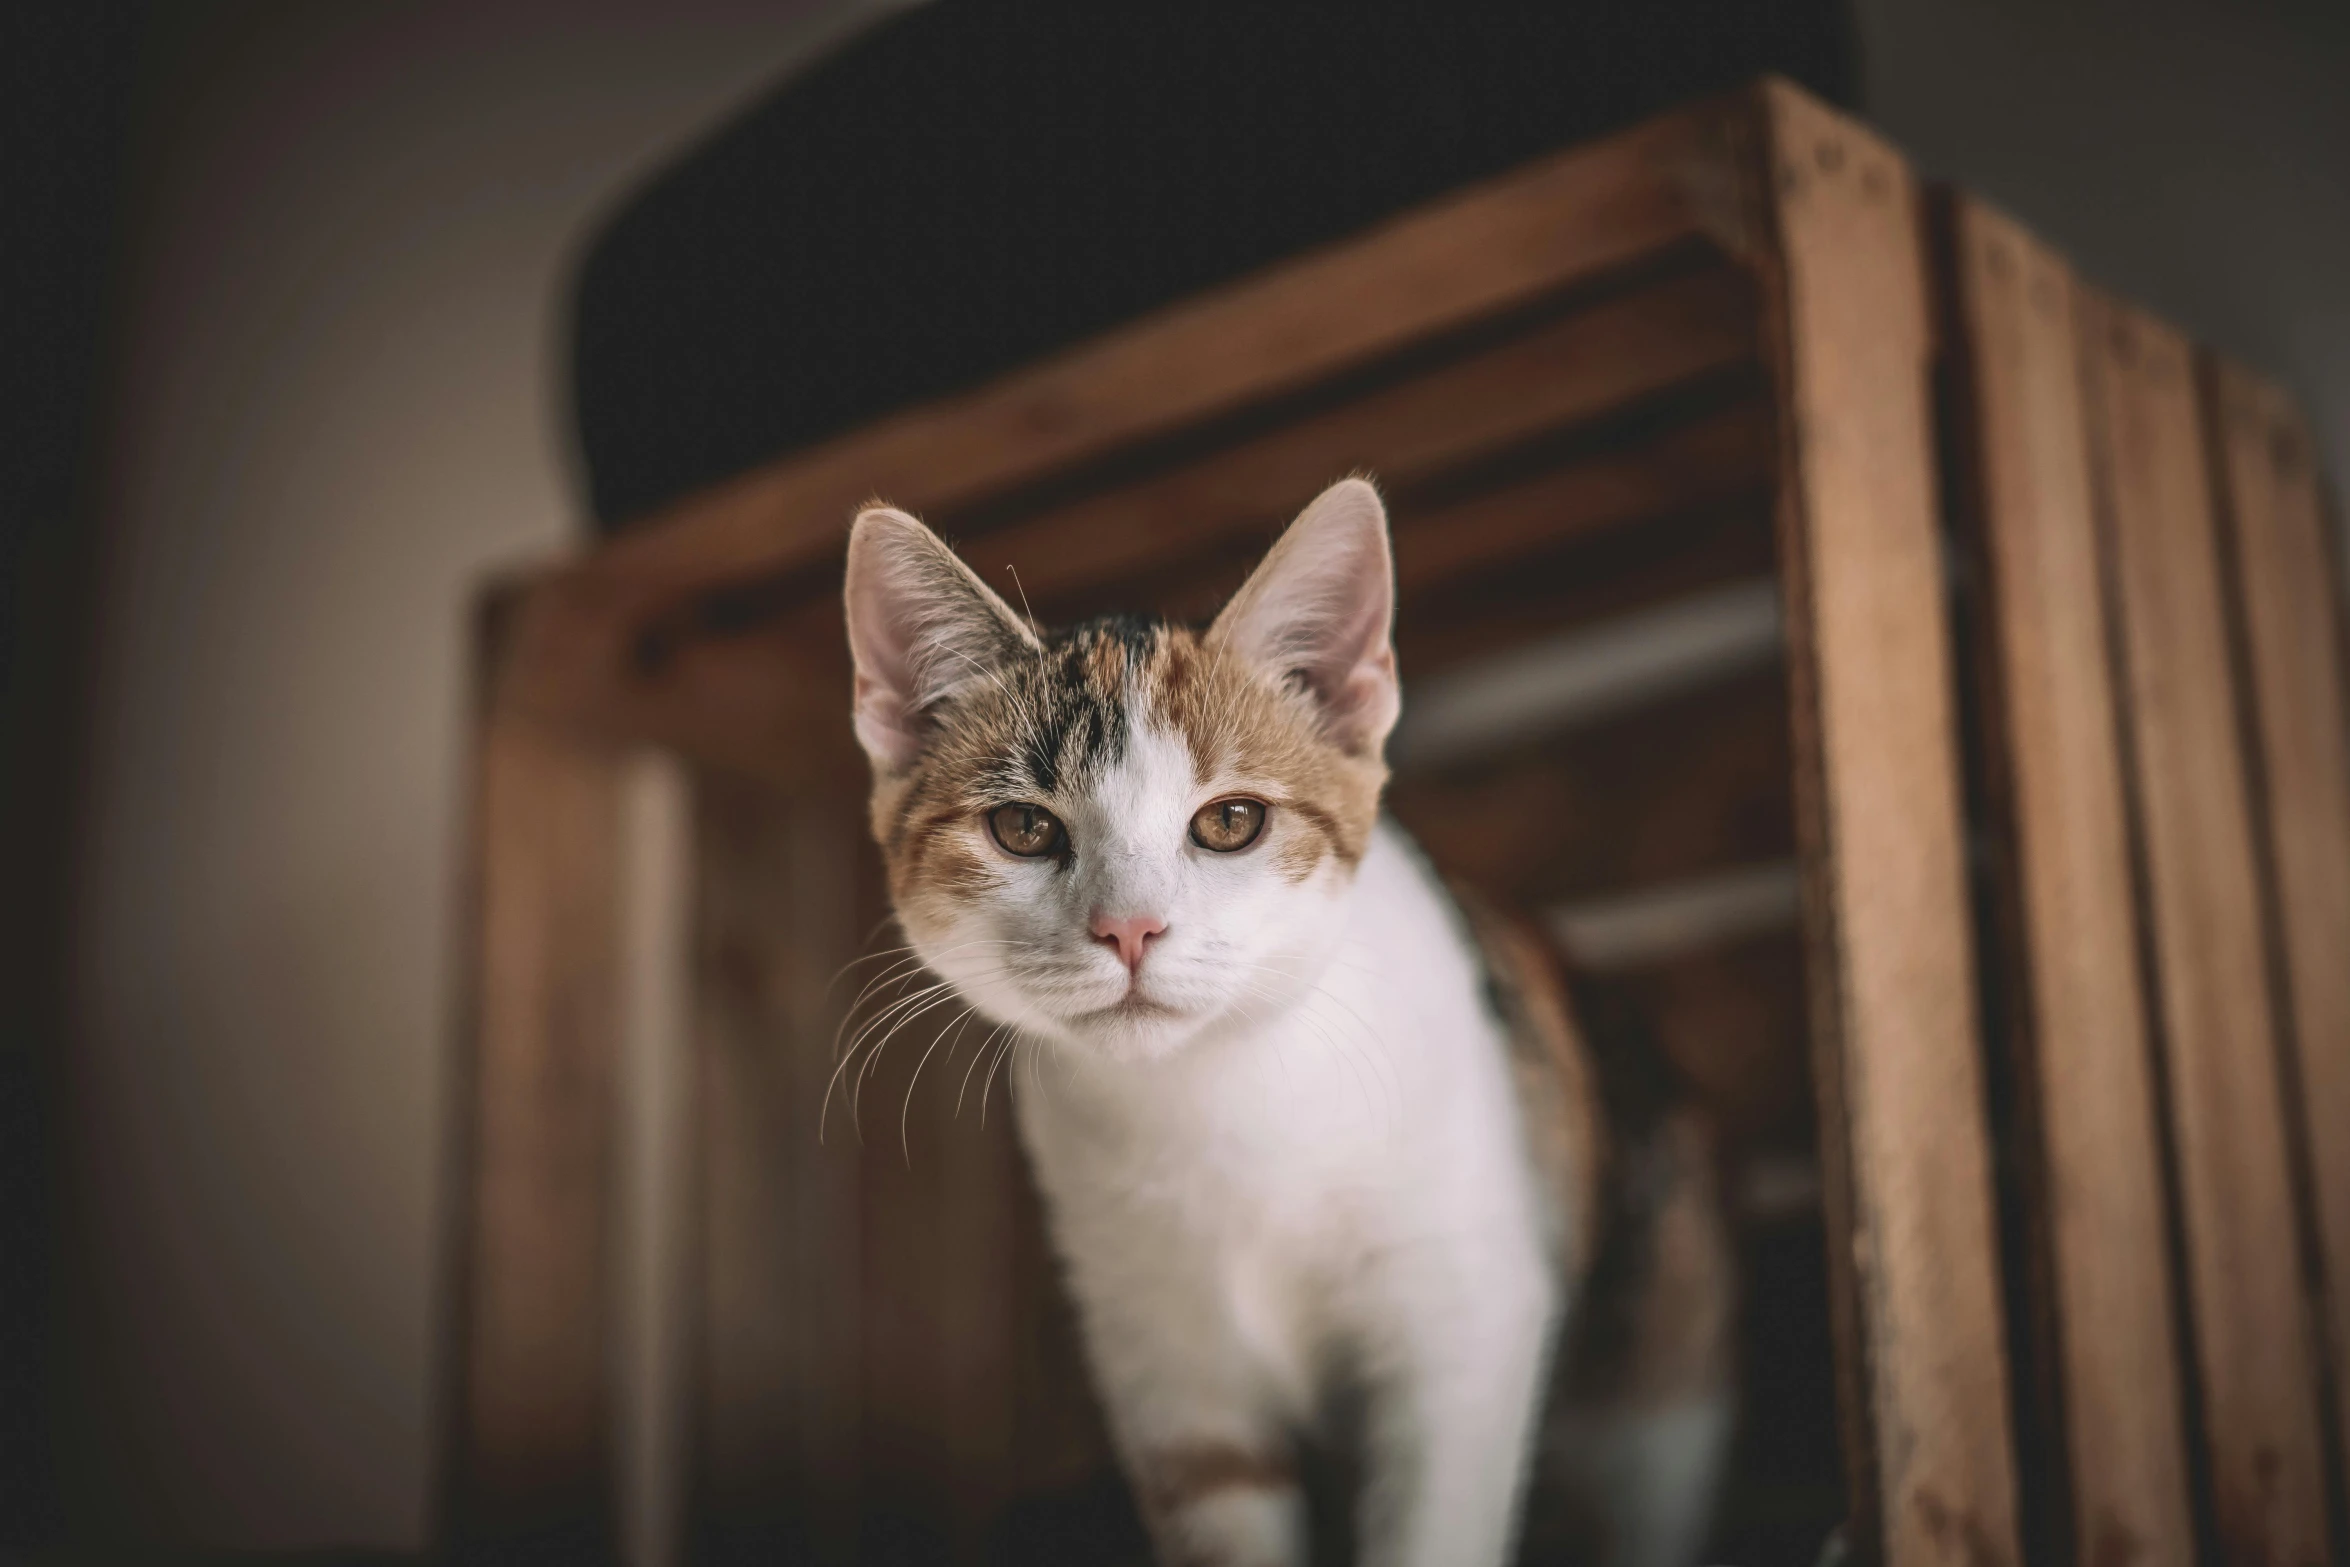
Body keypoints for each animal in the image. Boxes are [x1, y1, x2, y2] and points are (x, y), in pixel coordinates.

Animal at [841, 481, 1729, 1567]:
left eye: (1230, 822)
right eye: (1022, 827)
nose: (1128, 927)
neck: (1217, 1098)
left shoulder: (1464, 1325)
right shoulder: (1171, 1381)